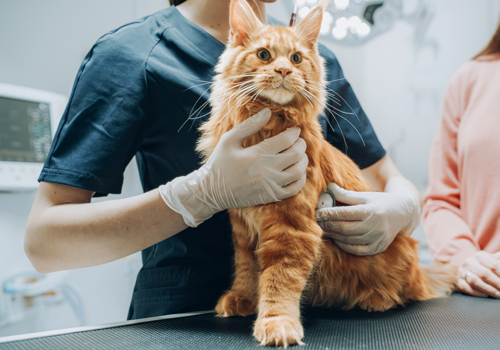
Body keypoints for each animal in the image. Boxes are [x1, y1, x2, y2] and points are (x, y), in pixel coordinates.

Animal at [195, 0, 458, 346]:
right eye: (264, 55)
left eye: (296, 58)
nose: (283, 70)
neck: (266, 128)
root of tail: (422, 273)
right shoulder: (242, 227)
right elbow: (246, 268)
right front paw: (243, 299)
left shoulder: (292, 227)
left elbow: (278, 278)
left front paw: (277, 322)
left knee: (406, 293)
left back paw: (376, 299)